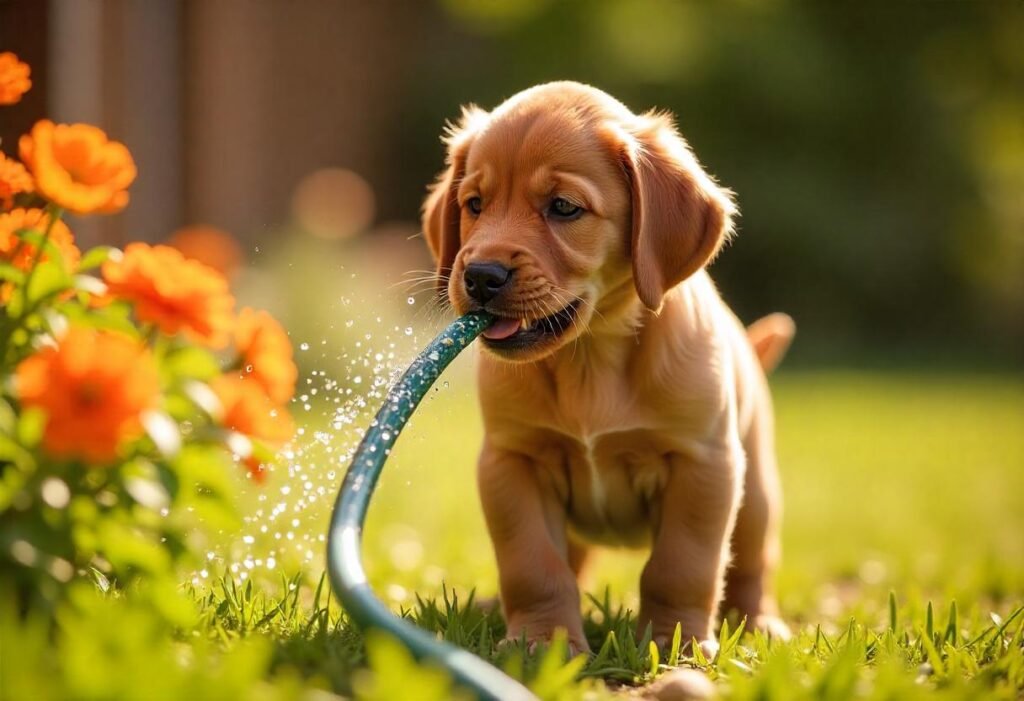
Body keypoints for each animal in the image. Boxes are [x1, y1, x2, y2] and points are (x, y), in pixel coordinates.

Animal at [419, 81, 794, 650]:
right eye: (474, 204)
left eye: (563, 207)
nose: (480, 275)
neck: (590, 356)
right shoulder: (512, 463)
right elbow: (533, 565)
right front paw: (541, 642)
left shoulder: (703, 465)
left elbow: (681, 567)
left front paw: (676, 643)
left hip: (756, 497)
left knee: (751, 566)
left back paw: (759, 623)